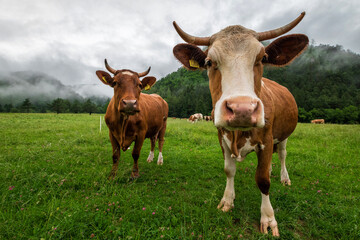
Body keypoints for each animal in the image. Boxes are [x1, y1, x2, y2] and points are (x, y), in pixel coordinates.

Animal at [173, 11, 308, 236]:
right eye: (209, 62)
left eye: (263, 58)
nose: (242, 109)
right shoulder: (222, 137)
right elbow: (229, 170)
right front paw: (227, 200)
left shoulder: (267, 140)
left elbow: (263, 180)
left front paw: (268, 218)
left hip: (284, 136)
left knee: (282, 155)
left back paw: (284, 177)